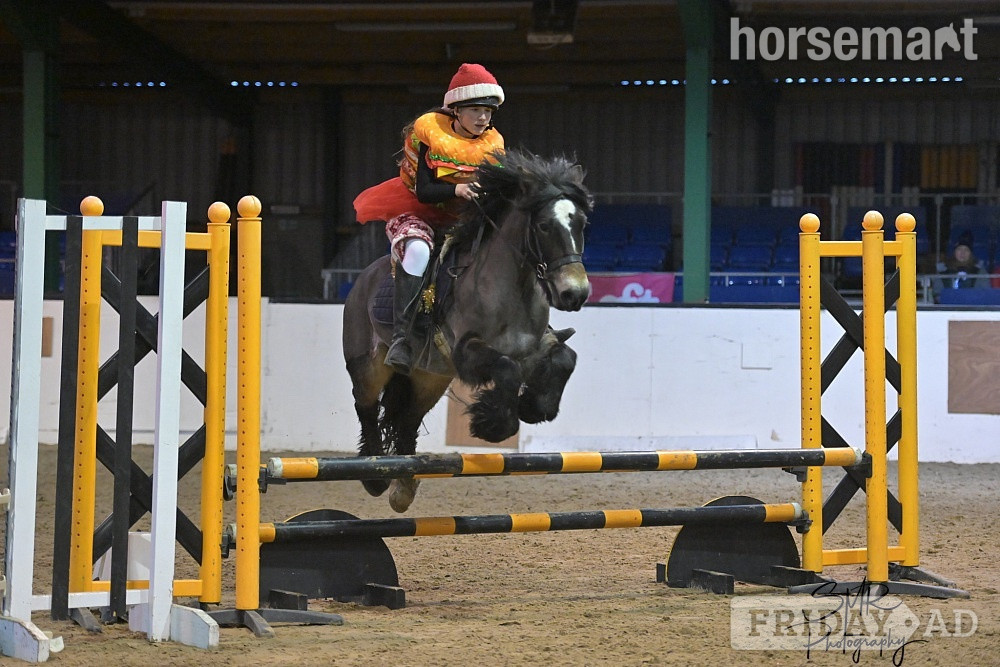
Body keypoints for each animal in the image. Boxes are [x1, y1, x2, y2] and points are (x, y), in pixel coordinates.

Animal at [342, 148, 593, 512]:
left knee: (407, 421)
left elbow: (564, 358)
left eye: (581, 224)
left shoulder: (534, 346)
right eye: (545, 226)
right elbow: (506, 367)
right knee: (366, 406)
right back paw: (375, 476)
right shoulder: (466, 351)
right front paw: (493, 425)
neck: (510, 288)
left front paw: (534, 406)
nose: (575, 293)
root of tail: (363, 280)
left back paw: (403, 488)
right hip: (369, 366)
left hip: (429, 378)